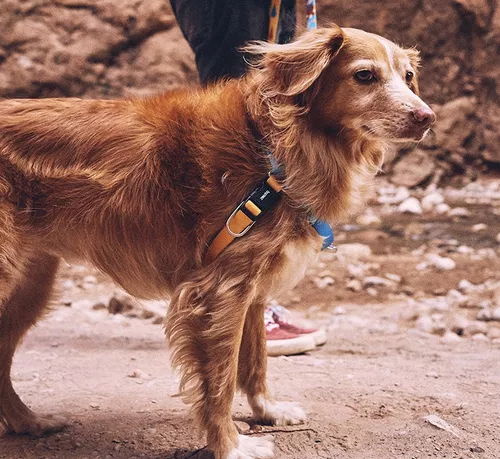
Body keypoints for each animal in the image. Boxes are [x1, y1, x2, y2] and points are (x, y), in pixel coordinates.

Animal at [0, 25, 434, 459]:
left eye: (409, 76)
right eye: (365, 75)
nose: (426, 117)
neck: (273, 147)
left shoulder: (253, 289)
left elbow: (256, 362)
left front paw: (267, 411)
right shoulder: (220, 290)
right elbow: (221, 381)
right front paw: (230, 445)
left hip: (31, 285)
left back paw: (28, 422)